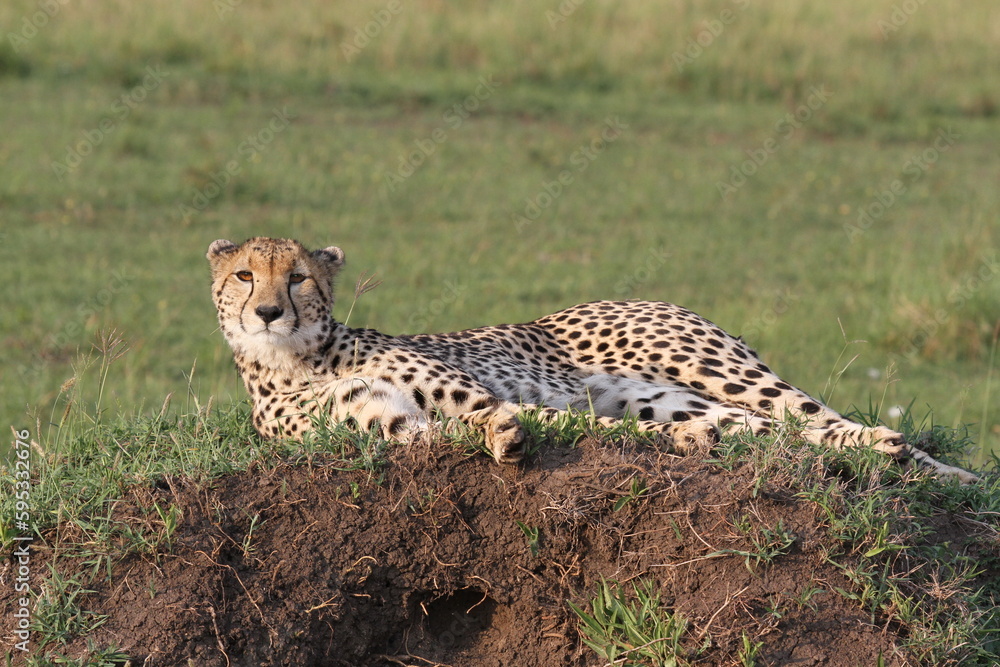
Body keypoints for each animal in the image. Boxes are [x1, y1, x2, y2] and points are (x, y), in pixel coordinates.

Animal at [207, 236, 977, 484]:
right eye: (246, 275)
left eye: (297, 276)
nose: (268, 311)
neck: (299, 360)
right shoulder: (389, 421)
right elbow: (449, 430)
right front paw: (500, 443)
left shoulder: (481, 392)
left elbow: (550, 422)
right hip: (673, 395)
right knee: (786, 431)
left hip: (714, 368)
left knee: (817, 415)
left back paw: (932, 465)